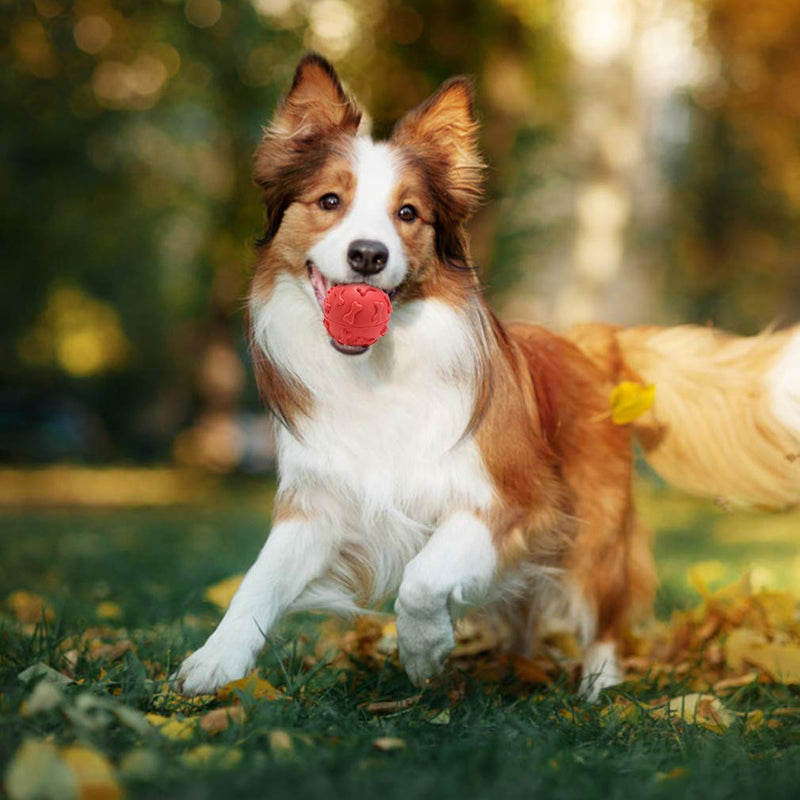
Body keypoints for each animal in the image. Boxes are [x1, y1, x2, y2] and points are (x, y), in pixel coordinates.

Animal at [175, 53, 800, 696]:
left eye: (408, 213)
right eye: (329, 202)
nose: (369, 254)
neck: (378, 367)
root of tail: (585, 340)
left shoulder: (516, 500)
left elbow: (422, 579)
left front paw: (423, 651)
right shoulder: (320, 502)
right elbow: (260, 578)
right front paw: (216, 660)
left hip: (595, 528)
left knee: (602, 616)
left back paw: (598, 688)